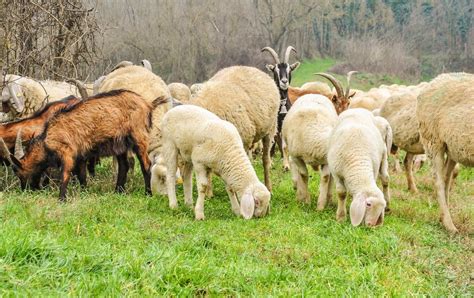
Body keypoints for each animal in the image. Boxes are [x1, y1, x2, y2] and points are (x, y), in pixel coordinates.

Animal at [0, 88, 159, 200]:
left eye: (18, 172)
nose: (26, 190)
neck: (47, 136)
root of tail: (147, 104)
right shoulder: (81, 156)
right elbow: (82, 176)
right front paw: (84, 192)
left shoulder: (67, 153)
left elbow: (65, 175)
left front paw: (62, 199)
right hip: (119, 143)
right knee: (124, 166)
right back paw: (118, 191)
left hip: (139, 138)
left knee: (146, 164)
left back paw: (148, 193)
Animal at [416, 71, 472, 233]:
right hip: (433, 141)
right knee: (439, 181)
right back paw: (449, 225)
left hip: (452, 148)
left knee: (447, 178)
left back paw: (445, 218)